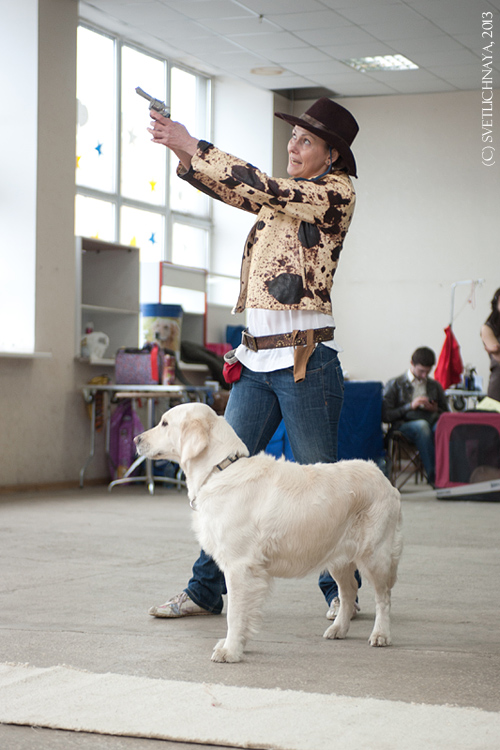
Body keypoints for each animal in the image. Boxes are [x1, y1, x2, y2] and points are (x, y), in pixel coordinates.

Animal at [135, 402, 403, 663]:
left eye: (165, 423)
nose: (137, 439)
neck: (219, 470)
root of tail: (384, 479)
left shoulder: (239, 566)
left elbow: (235, 614)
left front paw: (230, 651)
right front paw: (237, 645)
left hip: (375, 555)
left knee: (384, 597)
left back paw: (381, 634)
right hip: (338, 556)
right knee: (349, 592)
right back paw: (338, 629)